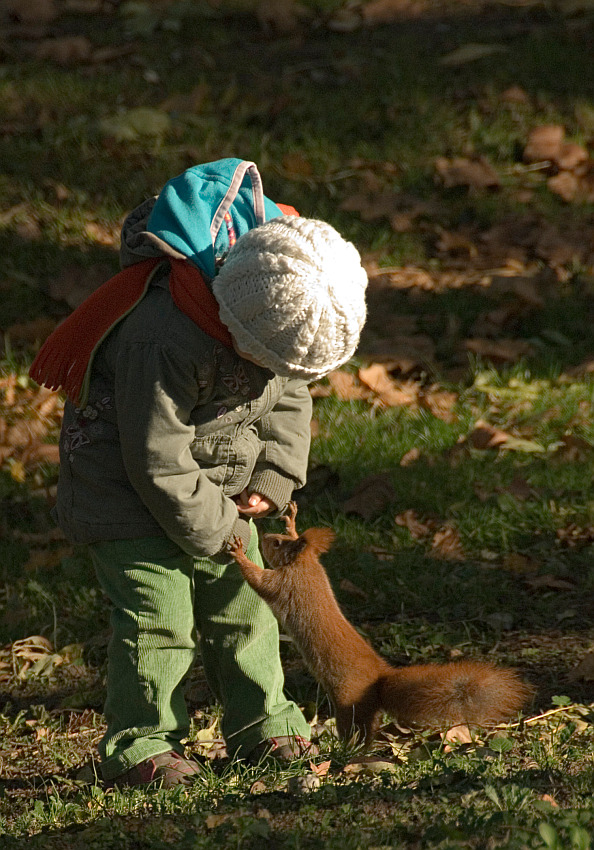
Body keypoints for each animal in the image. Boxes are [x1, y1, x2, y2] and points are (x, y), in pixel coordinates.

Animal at [229, 504, 528, 744]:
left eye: (277, 544)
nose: (266, 537)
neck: (305, 563)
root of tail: (380, 679)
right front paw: (291, 519)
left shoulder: (284, 585)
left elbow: (258, 580)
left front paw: (239, 553)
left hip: (349, 704)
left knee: (358, 732)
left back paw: (346, 752)